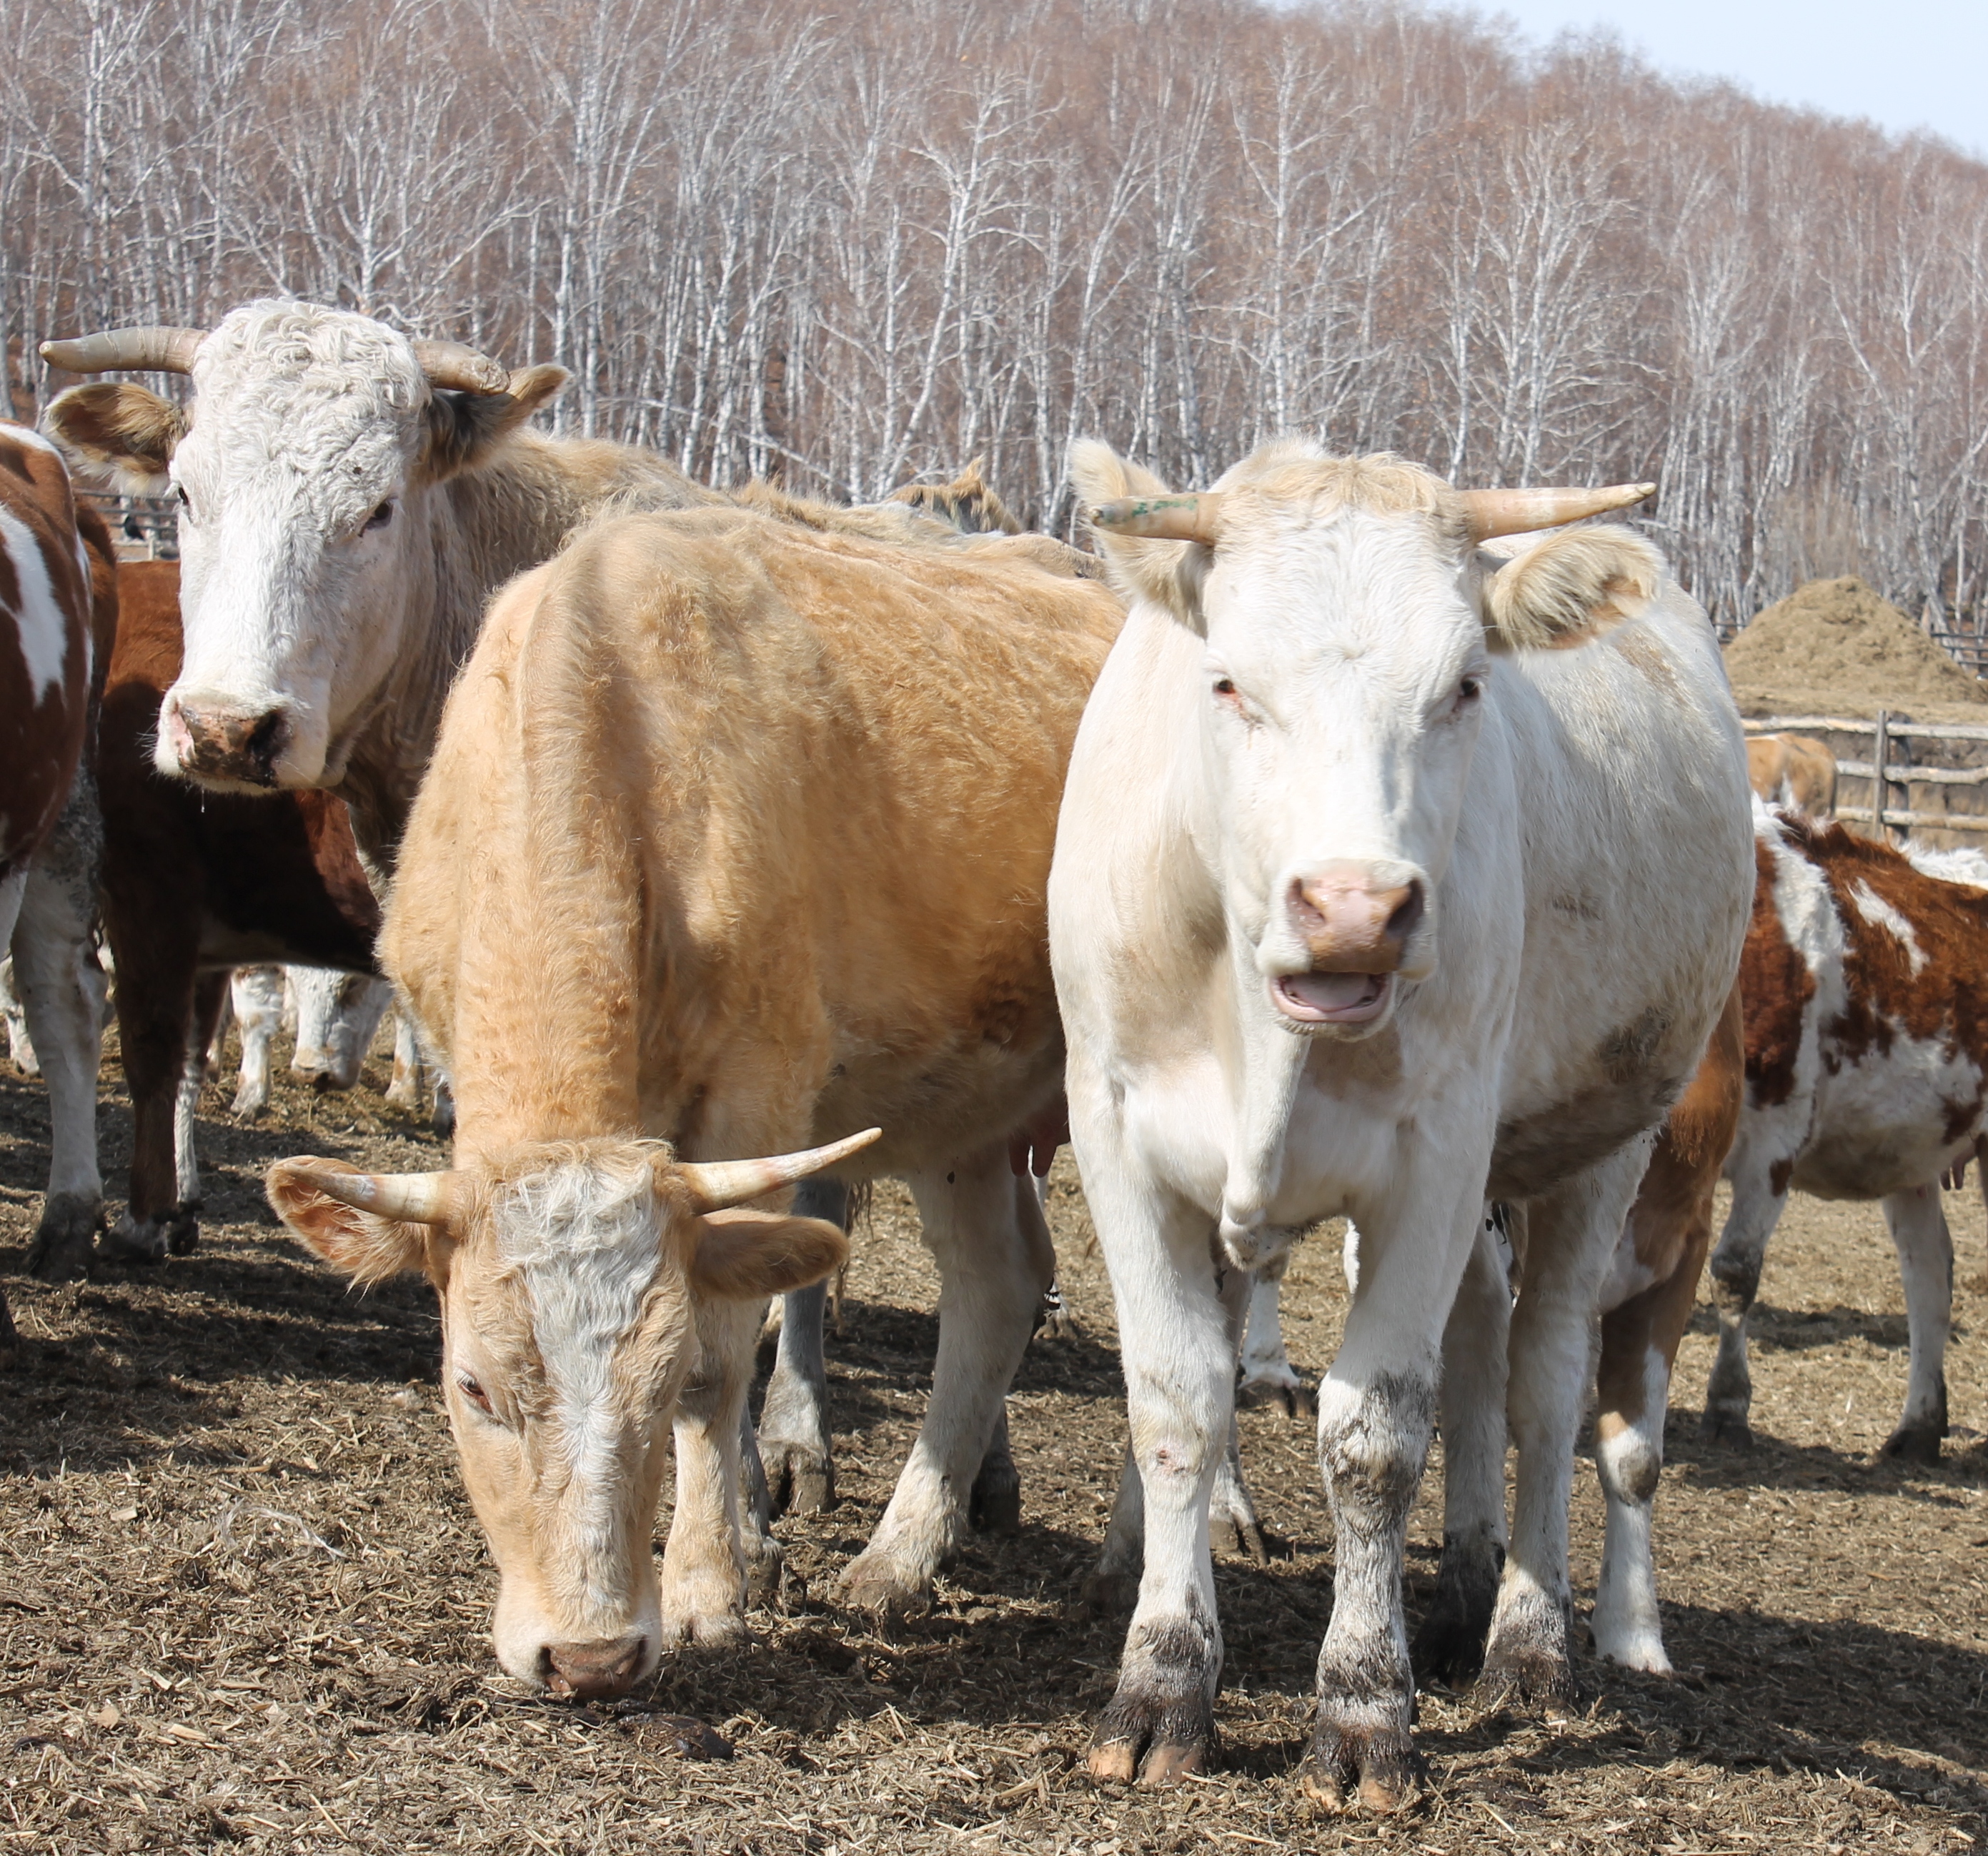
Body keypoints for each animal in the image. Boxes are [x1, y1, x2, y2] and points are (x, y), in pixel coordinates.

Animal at [1049, 447, 1749, 1820]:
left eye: (1464, 686)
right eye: (1228, 679)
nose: (1355, 909)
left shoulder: (1434, 1154)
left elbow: (1373, 1438)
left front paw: (1365, 1707)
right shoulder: (1114, 1131)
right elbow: (1176, 1398)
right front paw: (1161, 1679)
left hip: (1598, 1145)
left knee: (1540, 1374)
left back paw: (1524, 1637)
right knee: (1472, 1340)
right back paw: (1461, 1585)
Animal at [1701, 815, 1988, 1470]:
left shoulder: (1773, 1137)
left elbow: (1735, 1270)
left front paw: (1727, 1405)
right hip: (1914, 1153)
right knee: (1928, 1270)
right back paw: (1919, 1426)